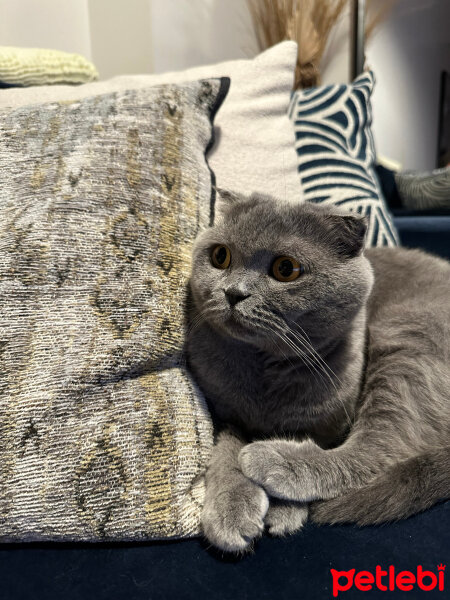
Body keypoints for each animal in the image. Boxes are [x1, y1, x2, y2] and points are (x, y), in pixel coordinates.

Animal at [186, 192, 450, 552]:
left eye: (286, 269)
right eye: (220, 256)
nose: (234, 292)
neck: (267, 369)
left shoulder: (327, 424)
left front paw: (282, 508)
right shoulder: (221, 411)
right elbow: (225, 448)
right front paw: (231, 510)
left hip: (406, 337)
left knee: (376, 451)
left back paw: (269, 458)